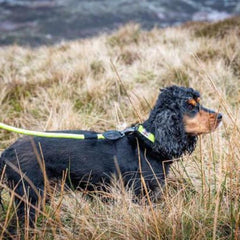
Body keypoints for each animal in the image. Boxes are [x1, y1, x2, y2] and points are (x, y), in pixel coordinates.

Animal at [0, 85, 221, 223]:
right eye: (190, 106)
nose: (220, 116)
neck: (150, 142)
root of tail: (5, 153)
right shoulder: (139, 195)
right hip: (29, 196)